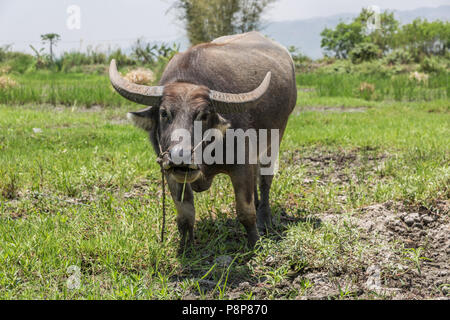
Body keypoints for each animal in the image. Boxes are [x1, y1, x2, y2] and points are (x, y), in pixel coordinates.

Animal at [110, 31, 296, 248]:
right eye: (164, 113)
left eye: (203, 115)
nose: (180, 157)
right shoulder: (168, 169)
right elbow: (185, 214)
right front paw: (185, 247)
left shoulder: (242, 163)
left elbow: (245, 211)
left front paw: (254, 243)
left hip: (274, 140)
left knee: (265, 179)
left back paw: (264, 218)